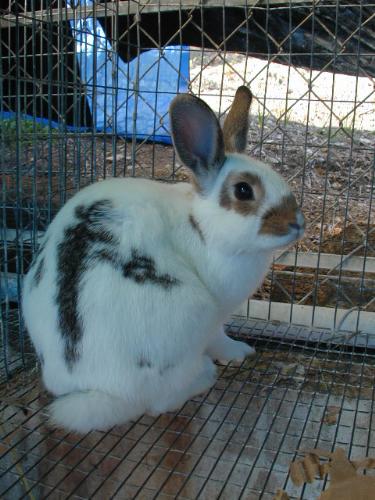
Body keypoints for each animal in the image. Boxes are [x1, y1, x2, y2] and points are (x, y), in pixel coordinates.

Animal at [22, 84, 306, 432]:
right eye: (243, 191)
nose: (297, 223)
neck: (201, 225)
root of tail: (101, 390)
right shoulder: (216, 317)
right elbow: (220, 338)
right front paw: (240, 351)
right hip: (192, 315)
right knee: (162, 401)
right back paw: (204, 375)